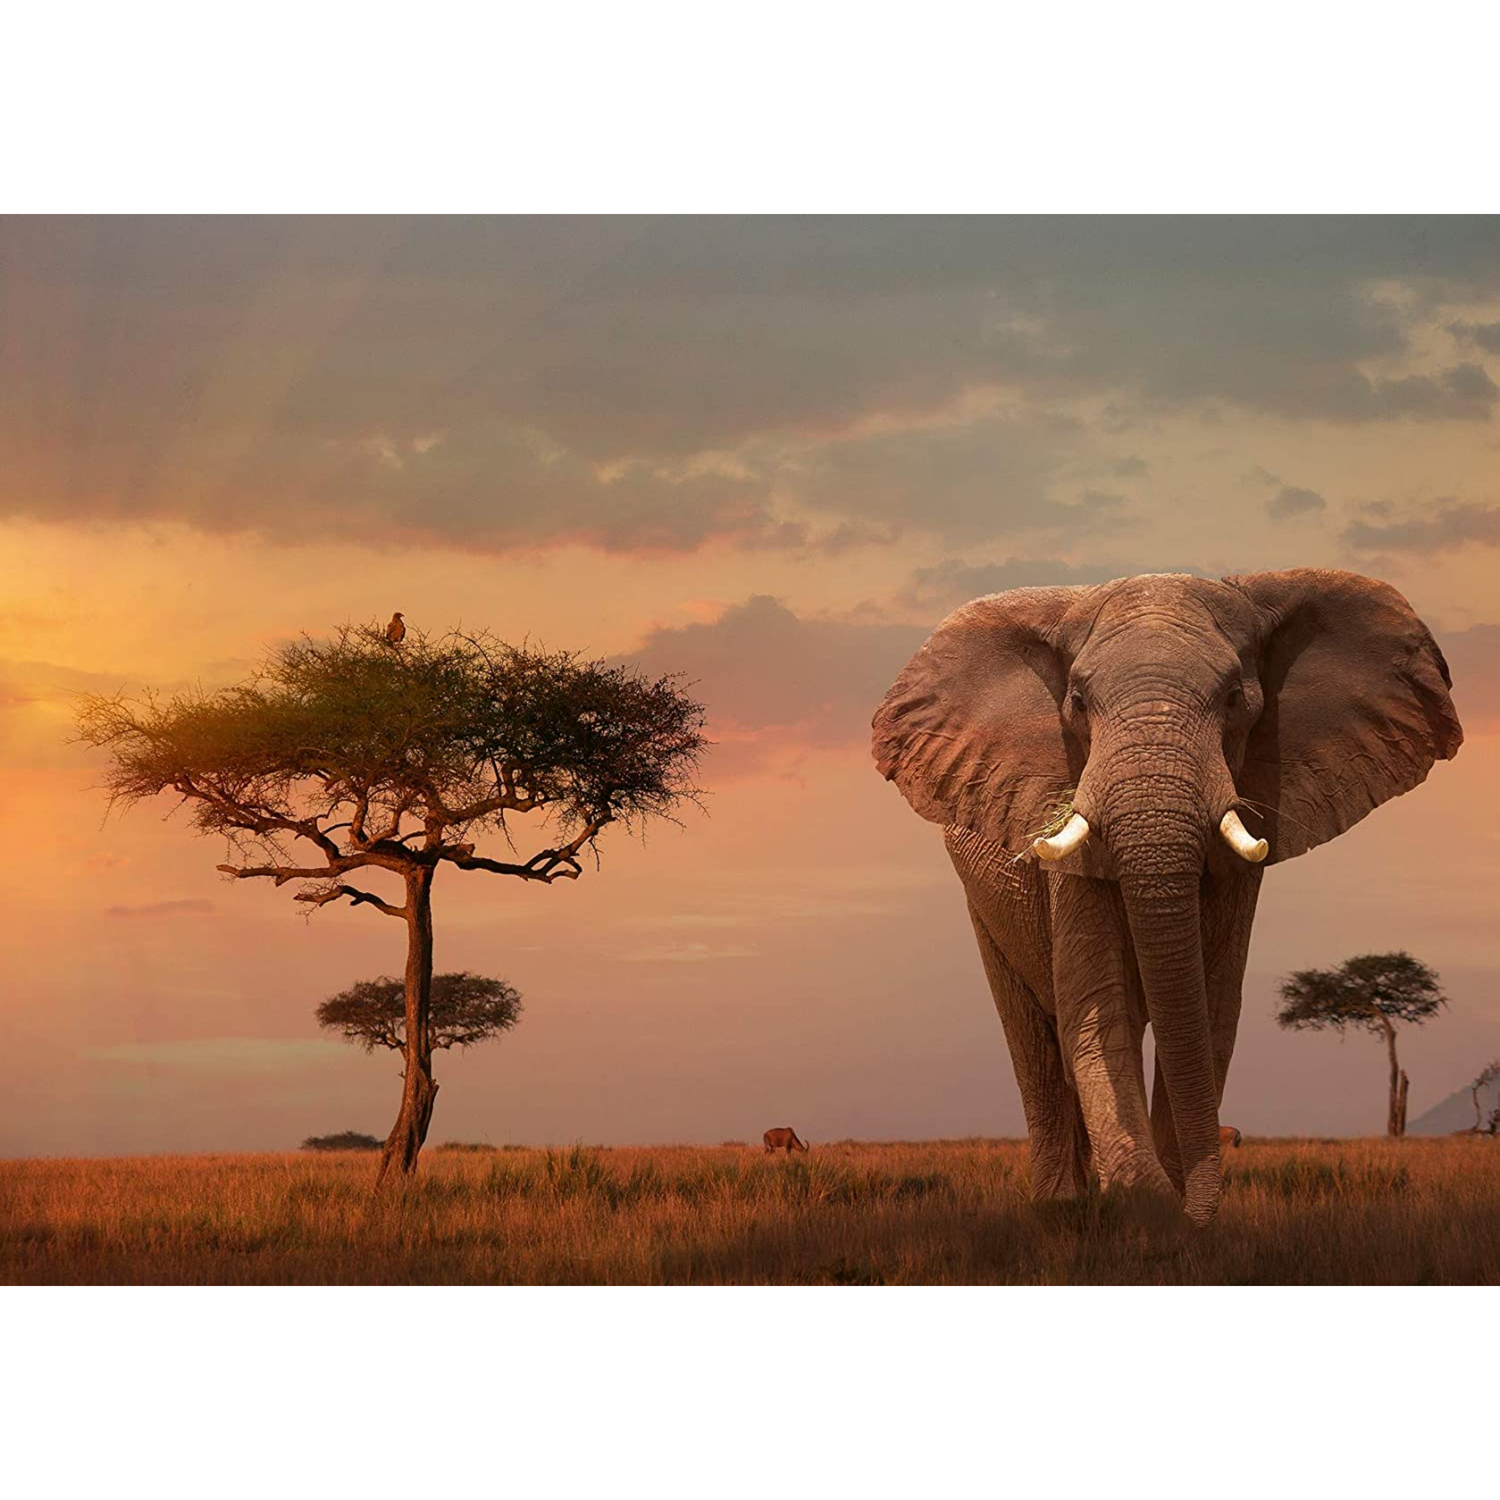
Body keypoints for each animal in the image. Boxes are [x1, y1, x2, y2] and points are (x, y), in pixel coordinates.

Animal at [872, 569, 1461, 1225]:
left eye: (1234, 699)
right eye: (1078, 701)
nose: (1193, 1211)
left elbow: (1210, 1009)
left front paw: (1172, 1214)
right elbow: (1100, 1005)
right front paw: (1142, 1202)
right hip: (982, 900)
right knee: (1035, 1038)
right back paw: (1062, 1207)